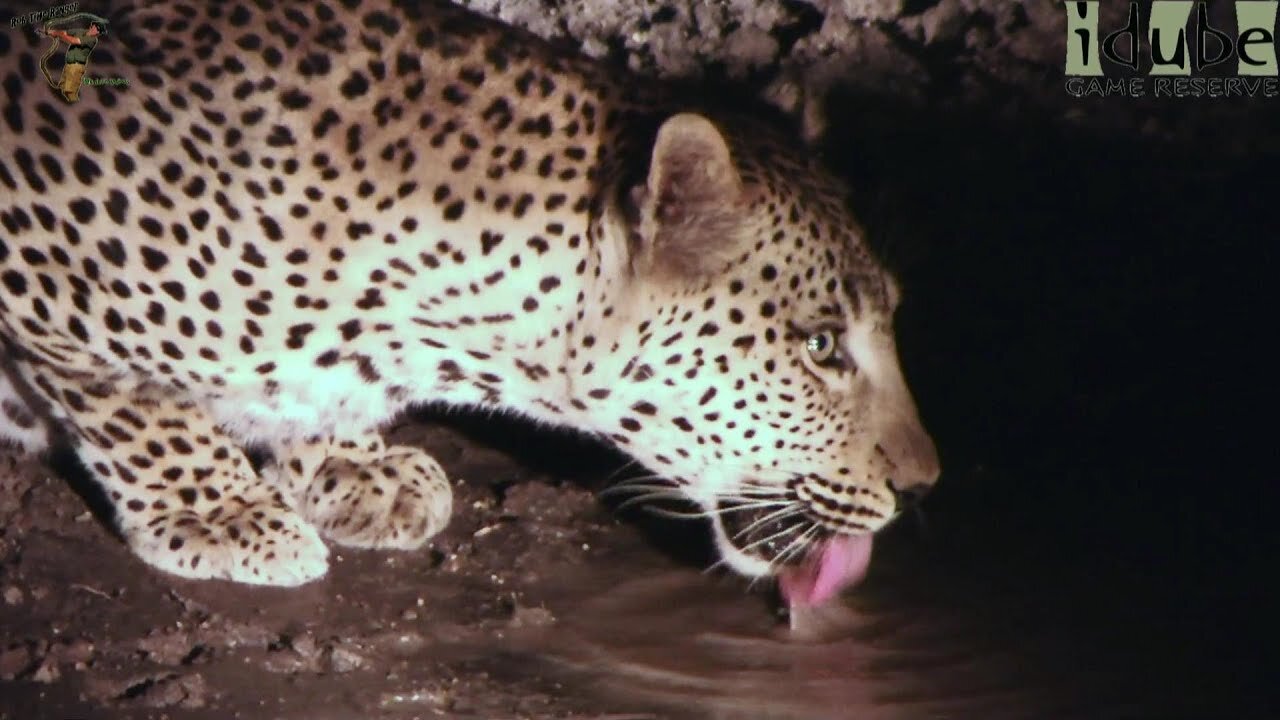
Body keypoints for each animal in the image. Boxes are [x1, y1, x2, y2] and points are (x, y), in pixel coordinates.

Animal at [0, 0, 942, 602]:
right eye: (821, 347)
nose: (924, 488)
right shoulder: (39, 282)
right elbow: (138, 408)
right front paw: (221, 513)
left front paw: (354, 466)